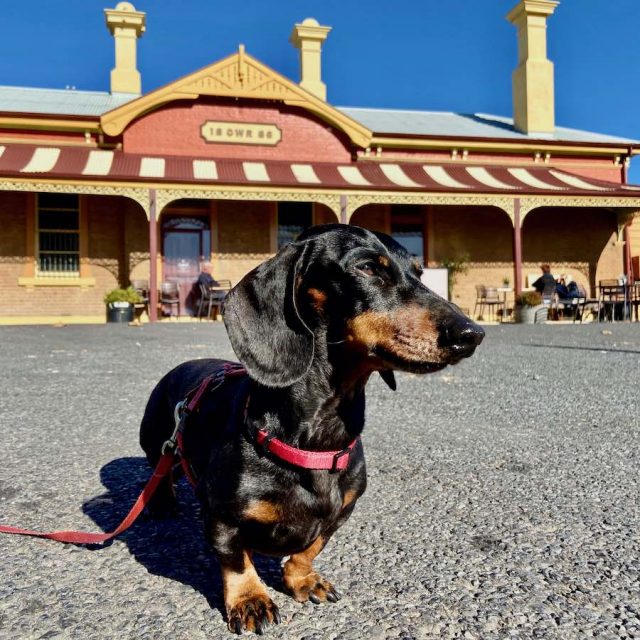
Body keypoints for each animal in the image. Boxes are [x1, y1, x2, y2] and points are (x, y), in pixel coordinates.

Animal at [139, 222, 480, 632]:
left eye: (419, 272)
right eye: (368, 268)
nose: (472, 334)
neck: (318, 438)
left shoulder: (342, 511)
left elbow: (309, 548)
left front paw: (302, 579)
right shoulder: (222, 516)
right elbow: (236, 561)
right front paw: (250, 600)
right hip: (155, 441)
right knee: (159, 471)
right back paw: (162, 502)